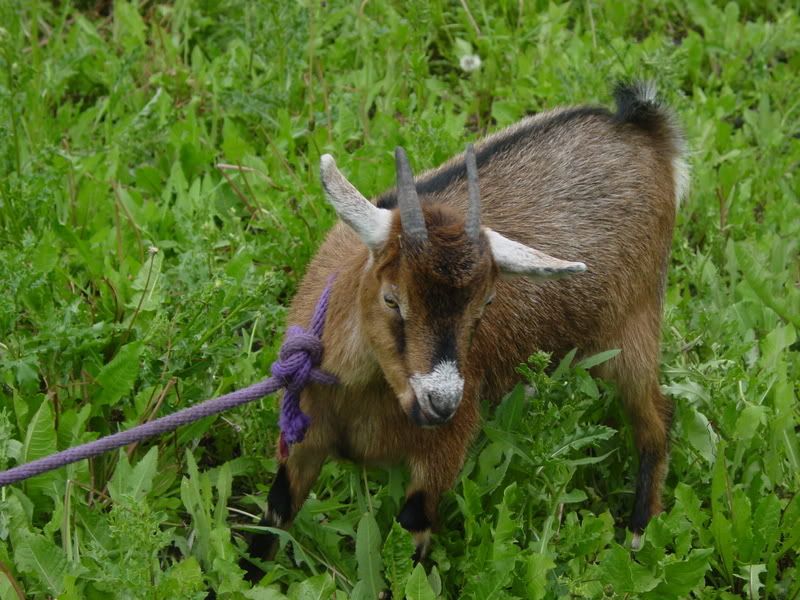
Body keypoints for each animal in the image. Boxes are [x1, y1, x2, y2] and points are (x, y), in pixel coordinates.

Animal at [243, 81, 688, 577]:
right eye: (391, 298)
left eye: (485, 303)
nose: (441, 403)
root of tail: (638, 125)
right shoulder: (301, 443)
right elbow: (273, 517)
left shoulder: (442, 457)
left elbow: (412, 544)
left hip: (635, 326)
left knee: (657, 418)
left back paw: (640, 532)